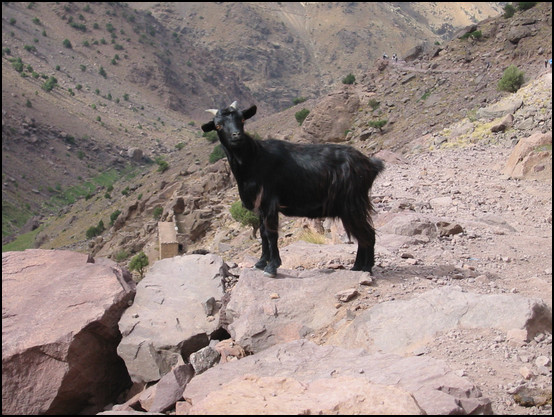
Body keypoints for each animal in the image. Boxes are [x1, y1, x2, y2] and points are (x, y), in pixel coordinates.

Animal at [199, 101, 384, 276]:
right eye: (218, 125)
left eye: (242, 119)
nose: (236, 135)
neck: (254, 158)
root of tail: (370, 164)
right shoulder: (259, 207)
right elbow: (262, 233)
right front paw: (261, 262)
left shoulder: (269, 201)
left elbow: (271, 233)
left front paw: (272, 267)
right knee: (361, 235)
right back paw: (357, 267)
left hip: (353, 204)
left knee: (368, 234)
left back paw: (366, 267)